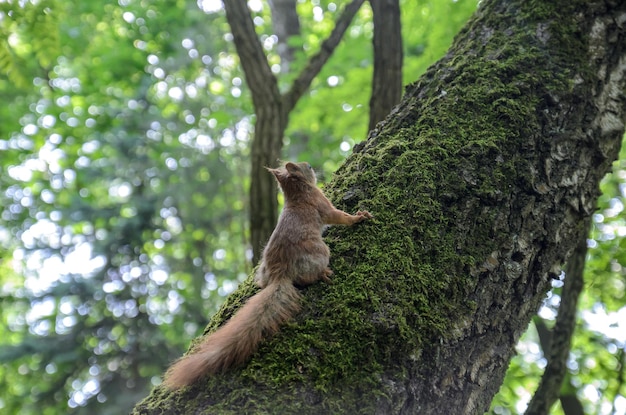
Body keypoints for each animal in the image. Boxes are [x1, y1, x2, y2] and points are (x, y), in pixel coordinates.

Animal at [161, 161, 372, 388]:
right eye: (306, 166)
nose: (312, 167)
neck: (297, 193)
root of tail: (280, 276)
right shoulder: (321, 203)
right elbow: (339, 216)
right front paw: (359, 217)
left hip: (262, 271)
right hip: (321, 252)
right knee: (308, 276)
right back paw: (323, 273)